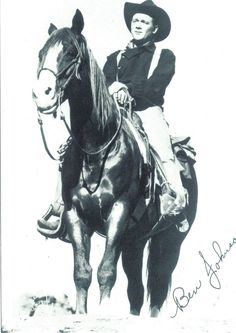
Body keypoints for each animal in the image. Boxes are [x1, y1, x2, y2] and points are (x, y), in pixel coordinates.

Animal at [31, 9, 197, 316]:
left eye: (70, 52)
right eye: (41, 53)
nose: (41, 94)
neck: (96, 149)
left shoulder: (119, 211)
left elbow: (106, 270)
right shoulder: (74, 214)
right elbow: (82, 272)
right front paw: (82, 314)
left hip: (170, 241)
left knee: (157, 286)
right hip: (135, 241)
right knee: (137, 289)